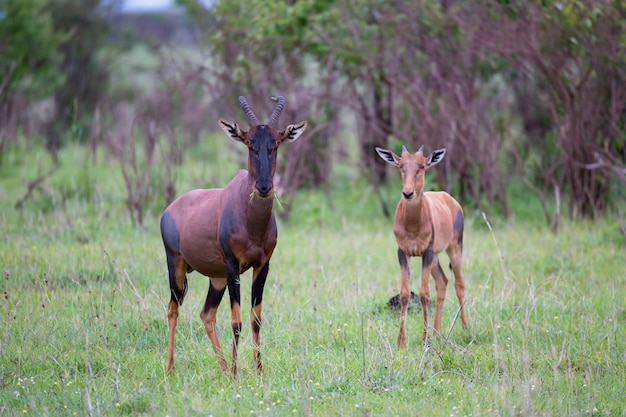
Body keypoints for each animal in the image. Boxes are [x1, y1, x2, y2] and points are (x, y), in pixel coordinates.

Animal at [161, 95, 308, 374]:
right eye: (250, 143)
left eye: (275, 144)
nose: (264, 187)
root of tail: (170, 209)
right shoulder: (233, 266)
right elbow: (236, 321)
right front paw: (238, 373)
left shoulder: (262, 266)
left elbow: (256, 319)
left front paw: (258, 370)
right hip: (177, 266)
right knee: (173, 309)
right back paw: (171, 368)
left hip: (216, 278)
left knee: (206, 314)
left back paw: (223, 368)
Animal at [372, 145, 466, 346]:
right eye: (401, 166)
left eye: (422, 166)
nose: (407, 193)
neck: (413, 222)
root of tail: (451, 200)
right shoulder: (403, 252)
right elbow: (405, 294)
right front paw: (401, 341)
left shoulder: (426, 252)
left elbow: (424, 294)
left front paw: (425, 337)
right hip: (436, 257)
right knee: (442, 282)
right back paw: (437, 332)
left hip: (454, 248)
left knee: (459, 283)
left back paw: (464, 328)